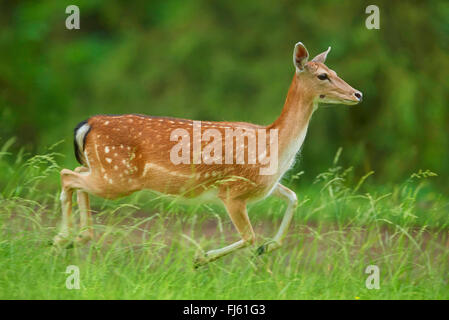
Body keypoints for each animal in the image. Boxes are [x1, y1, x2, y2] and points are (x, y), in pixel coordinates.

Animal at [53, 43, 360, 268]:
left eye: (333, 69)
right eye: (322, 75)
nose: (357, 93)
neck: (273, 145)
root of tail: (89, 124)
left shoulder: (263, 185)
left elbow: (293, 198)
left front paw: (268, 246)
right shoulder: (232, 191)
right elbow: (249, 236)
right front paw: (200, 258)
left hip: (106, 170)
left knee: (76, 175)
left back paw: (76, 238)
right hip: (119, 176)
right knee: (67, 175)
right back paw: (61, 239)